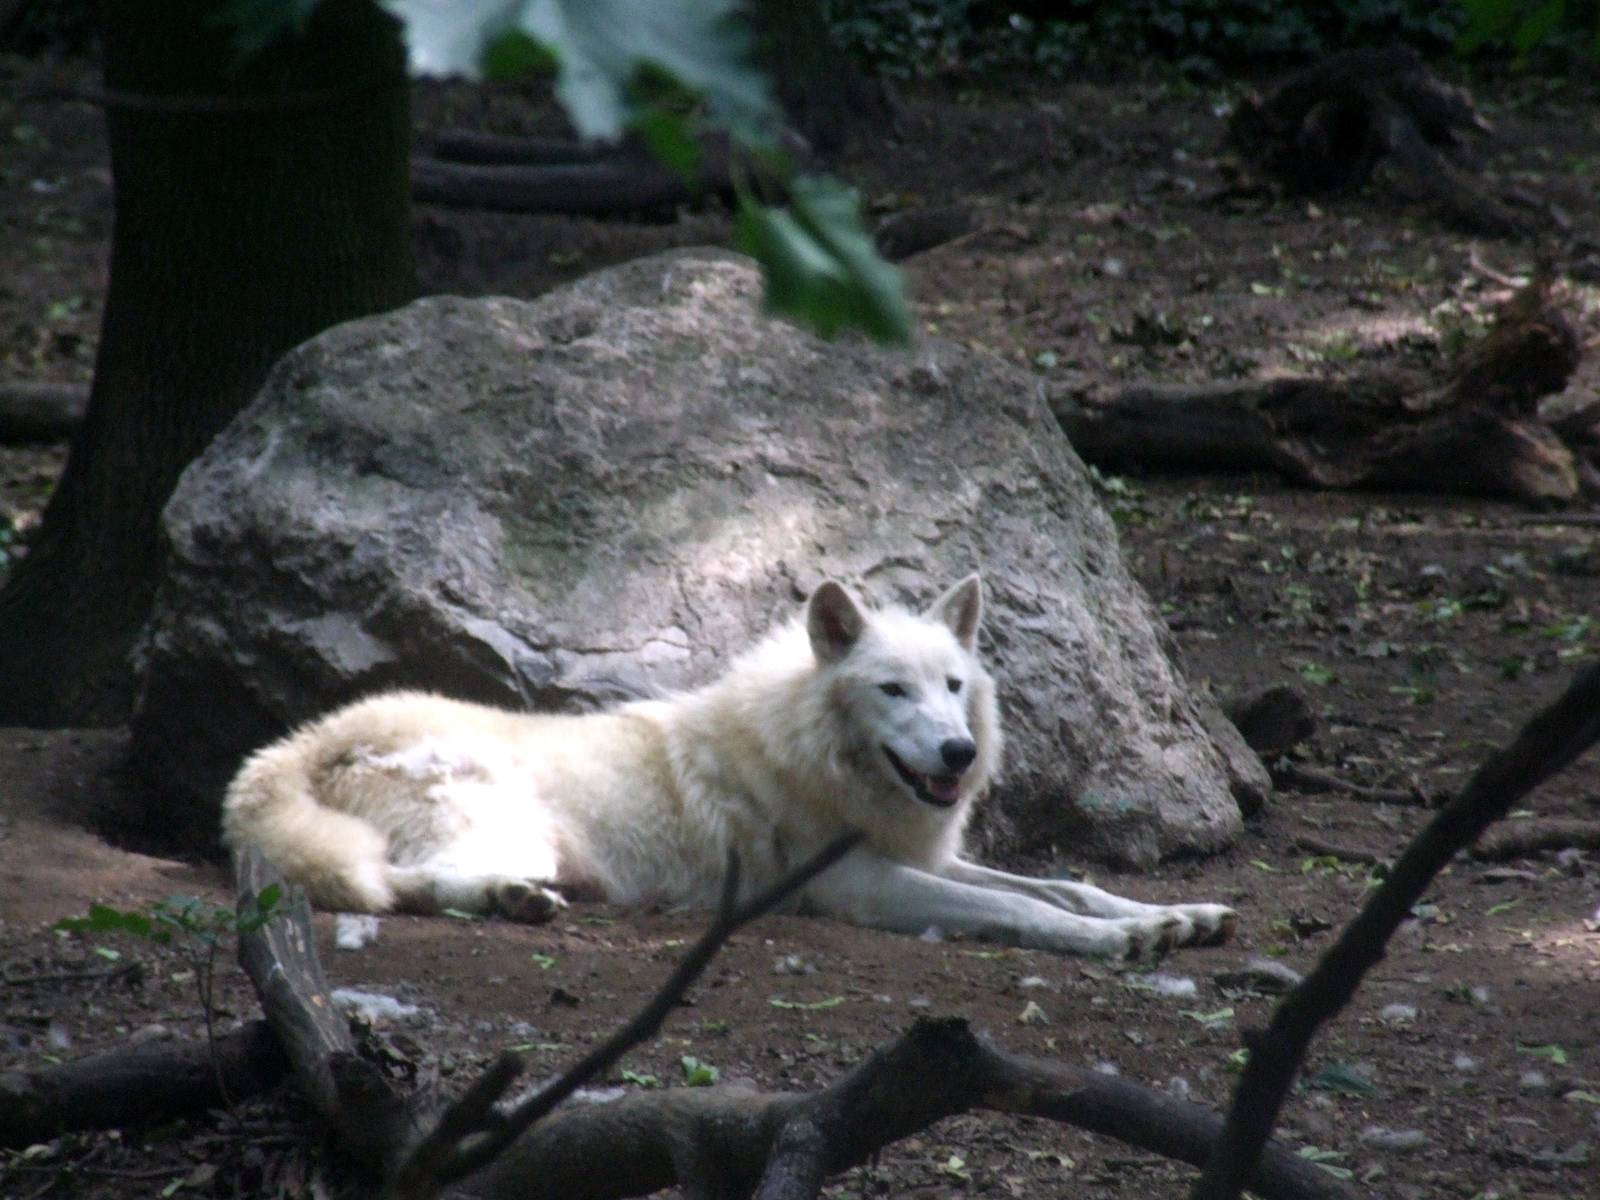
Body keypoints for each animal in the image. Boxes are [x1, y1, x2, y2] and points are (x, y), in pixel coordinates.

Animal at [223, 575, 1236, 960]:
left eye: (953, 686)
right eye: (893, 691)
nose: (959, 751)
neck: (812, 754)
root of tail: (289, 746)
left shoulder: (928, 853)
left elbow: (1065, 884)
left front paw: (1174, 916)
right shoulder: (868, 885)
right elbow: (1025, 910)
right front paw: (1117, 943)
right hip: (512, 832)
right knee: (400, 885)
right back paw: (514, 901)